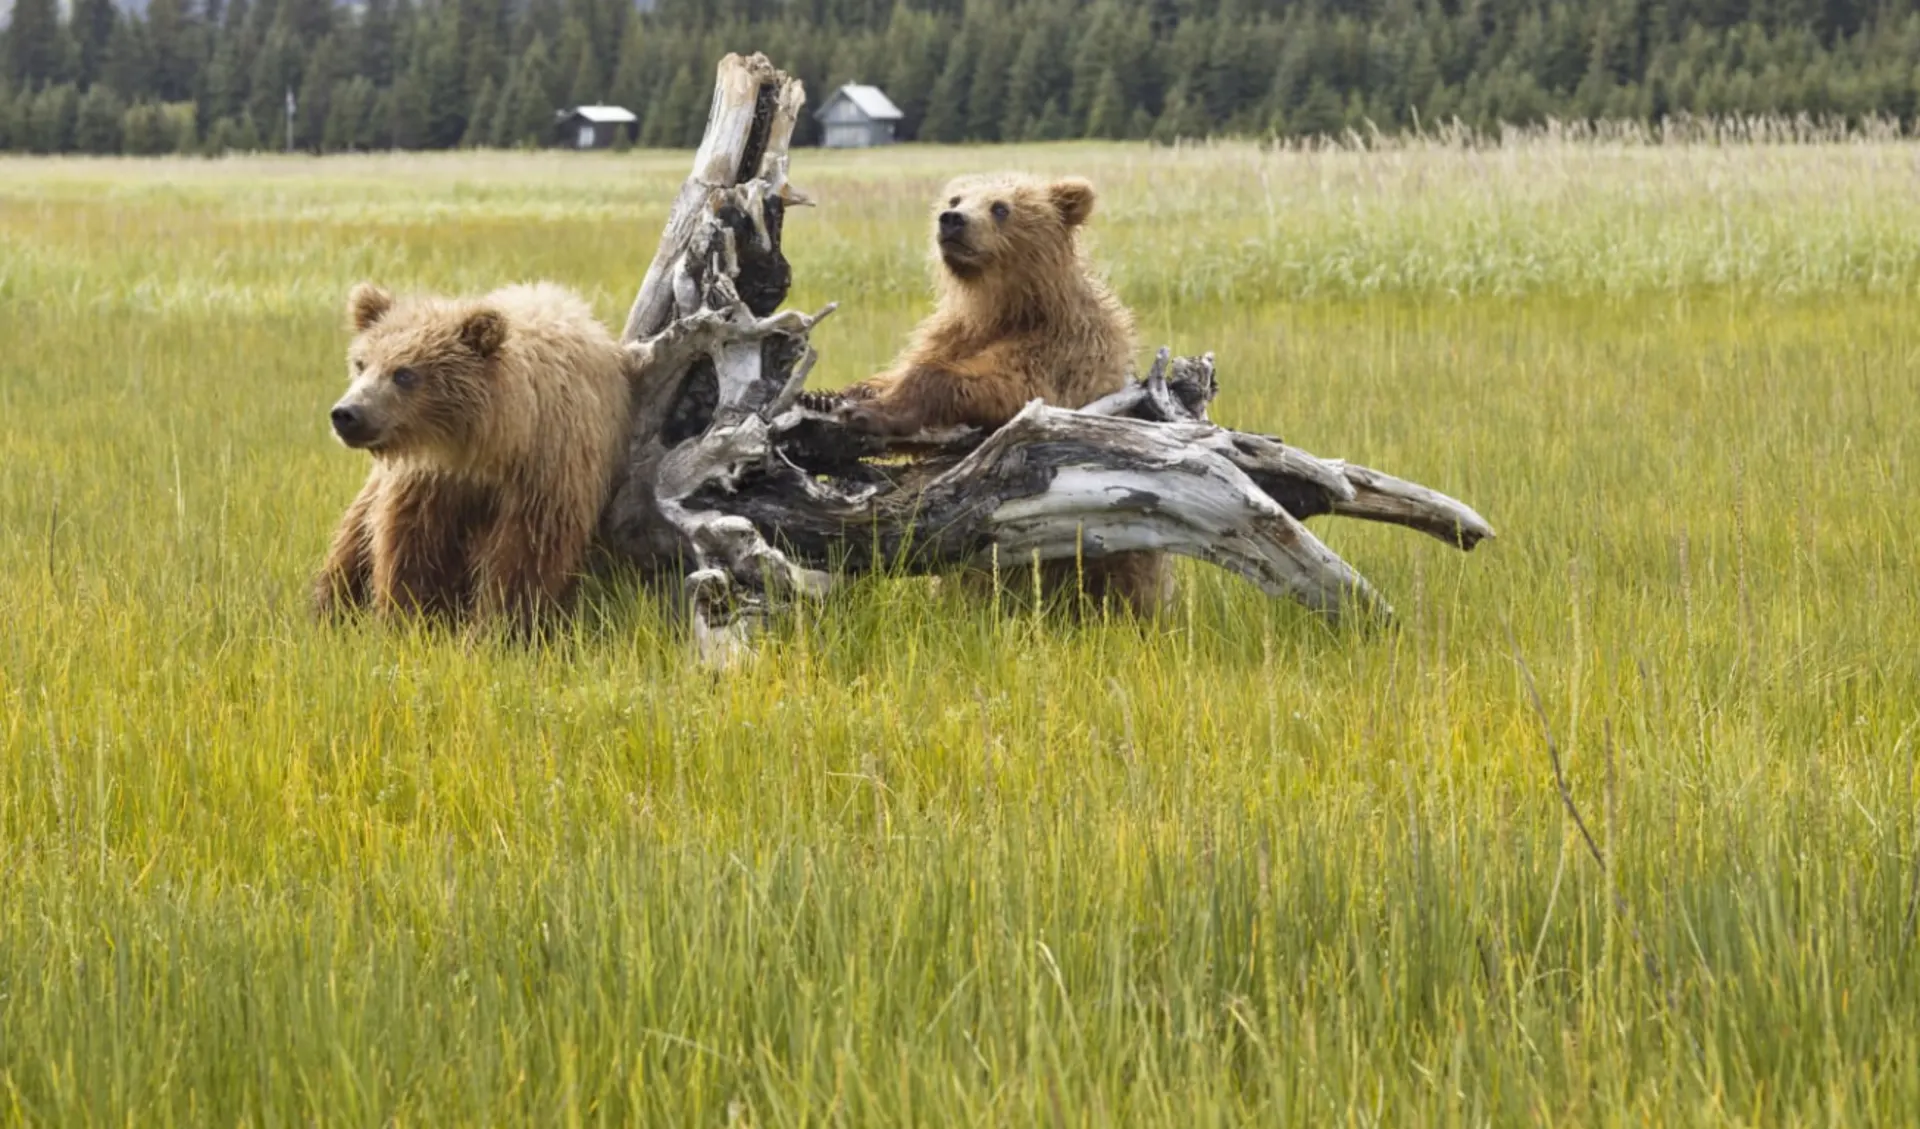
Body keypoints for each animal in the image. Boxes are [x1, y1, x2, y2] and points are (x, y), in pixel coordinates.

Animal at [311, 280, 634, 633]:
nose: (347, 413)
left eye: (404, 373)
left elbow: (527, 557)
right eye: (361, 363)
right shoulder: (429, 481)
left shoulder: (548, 470)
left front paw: (496, 626)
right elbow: (409, 547)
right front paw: (408, 618)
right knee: (352, 539)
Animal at [832, 171, 1174, 618]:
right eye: (956, 198)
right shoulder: (954, 334)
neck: (1002, 309)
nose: (952, 220)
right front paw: (847, 395)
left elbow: (1007, 391)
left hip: (1115, 560)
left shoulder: (1063, 350)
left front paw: (871, 412)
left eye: (1000, 207)